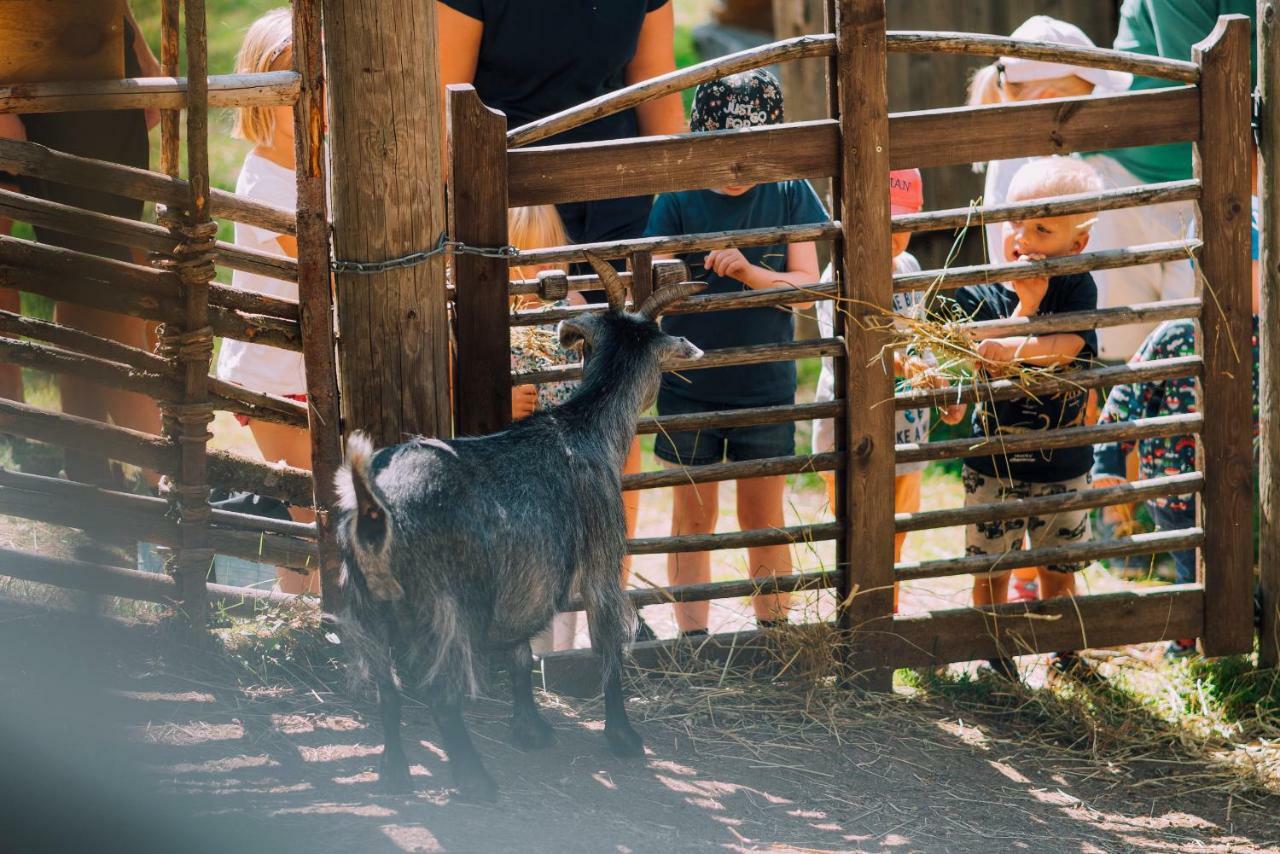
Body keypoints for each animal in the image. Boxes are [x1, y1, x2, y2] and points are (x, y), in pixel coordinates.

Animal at [335, 256, 706, 804]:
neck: (584, 428)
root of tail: (376, 510)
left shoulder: (525, 579)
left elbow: (521, 654)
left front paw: (530, 728)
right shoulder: (602, 558)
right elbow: (608, 645)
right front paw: (623, 737)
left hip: (364, 605)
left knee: (387, 691)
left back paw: (395, 771)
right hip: (447, 603)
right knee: (440, 694)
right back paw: (476, 781)